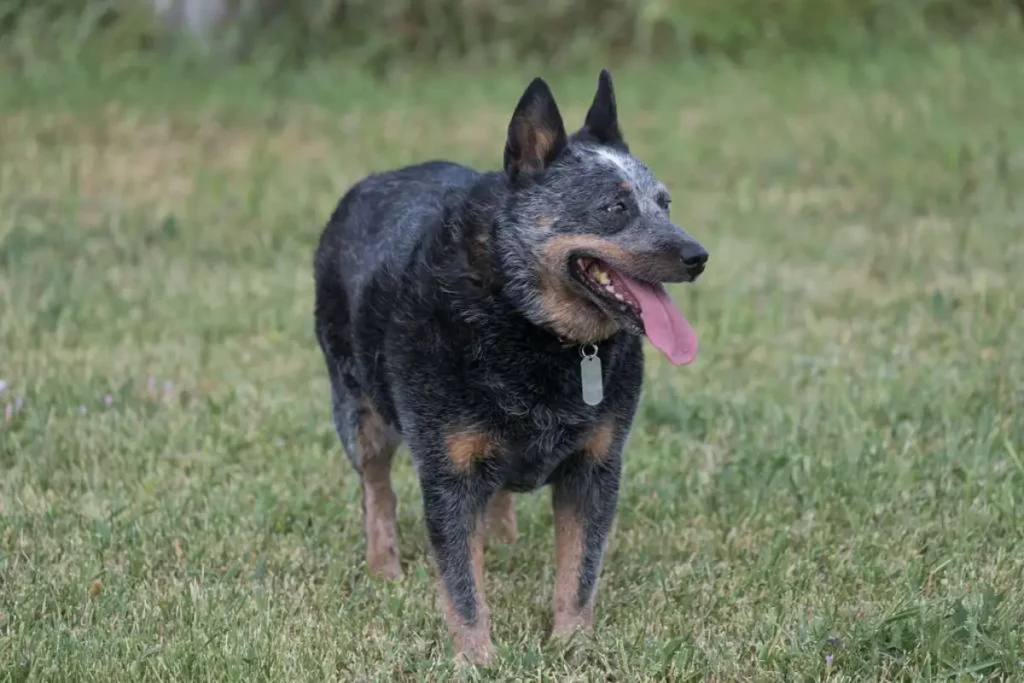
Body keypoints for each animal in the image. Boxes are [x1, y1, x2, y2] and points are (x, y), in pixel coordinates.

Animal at [311, 69, 708, 663]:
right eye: (614, 208)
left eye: (665, 203)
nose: (697, 256)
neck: (531, 327)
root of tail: (366, 185)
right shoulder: (448, 471)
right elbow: (461, 585)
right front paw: (475, 659)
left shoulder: (597, 465)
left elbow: (580, 571)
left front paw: (572, 645)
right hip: (357, 406)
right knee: (376, 487)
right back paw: (385, 567)